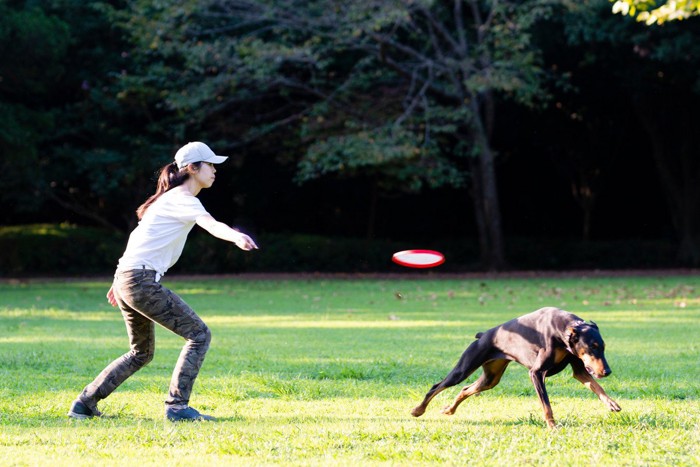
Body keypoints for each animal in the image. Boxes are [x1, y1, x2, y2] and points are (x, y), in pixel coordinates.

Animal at [410, 308, 624, 428]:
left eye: (603, 346)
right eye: (592, 347)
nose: (607, 371)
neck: (564, 329)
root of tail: (484, 335)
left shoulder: (579, 369)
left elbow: (596, 386)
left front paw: (611, 403)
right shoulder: (536, 373)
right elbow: (546, 405)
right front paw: (552, 426)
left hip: (491, 378)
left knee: (465, 389)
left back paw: (449, 410)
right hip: (464, 367)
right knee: (438, 386)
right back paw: (418, 410)